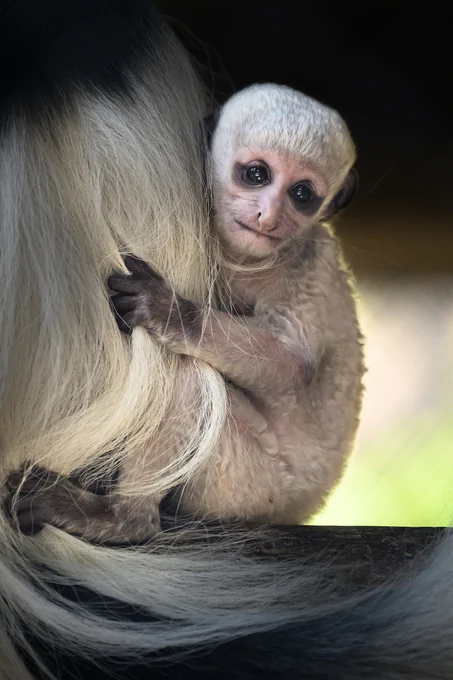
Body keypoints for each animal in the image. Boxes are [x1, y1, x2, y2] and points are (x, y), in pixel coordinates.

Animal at [7, 84, 365, 543]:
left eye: (302, 194)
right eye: (257, 175)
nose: (268, 215)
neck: (247, 260)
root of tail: (302, 507)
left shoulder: (305, 267)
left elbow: (291, 365)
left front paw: (168, 311)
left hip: (250, 485)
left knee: (185, 375)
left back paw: (122, 518)